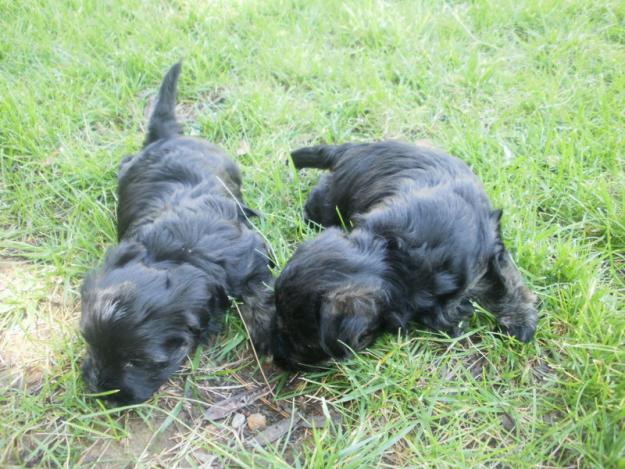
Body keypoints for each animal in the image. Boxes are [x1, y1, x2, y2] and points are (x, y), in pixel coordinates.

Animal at [78, 64, 272, 404]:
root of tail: (167, 137)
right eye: (91, 343)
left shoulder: (249, 254)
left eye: (136, 361)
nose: (102, 392)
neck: (179, 254)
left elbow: (259, 291)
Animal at [272, 141, 536, 368]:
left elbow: (508, 281)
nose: (277, 361)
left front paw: (522, 323)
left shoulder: (487, 248)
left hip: (328, 200)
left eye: (304, 344)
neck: (392, 256)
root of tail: (352, 148)